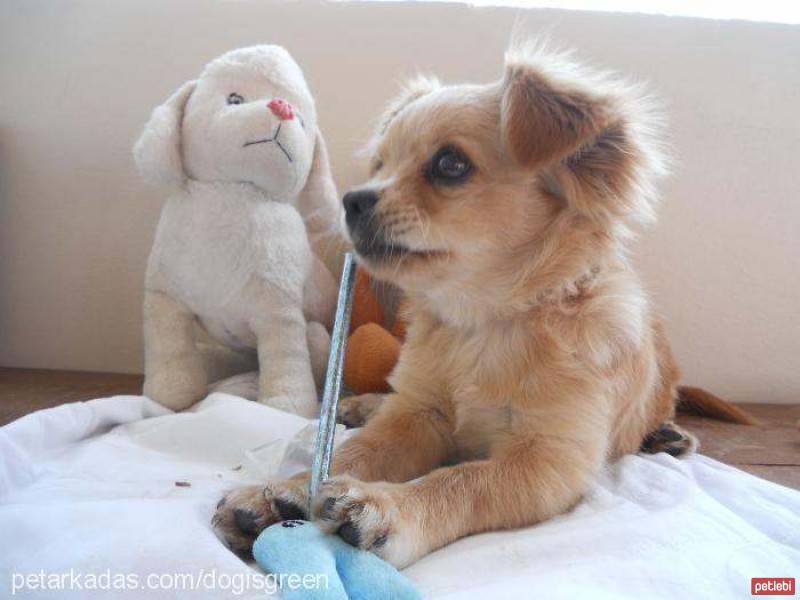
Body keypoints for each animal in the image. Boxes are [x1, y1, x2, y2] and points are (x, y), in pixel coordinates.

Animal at [216, 43, 728, 568]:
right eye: (380, 165)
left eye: (450, 164)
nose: (351, 200)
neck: (481, 325)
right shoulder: (419, 417)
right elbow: (357, 452)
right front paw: (285, 489)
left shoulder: (548, 460)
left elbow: (462, 482)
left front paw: (391, 508)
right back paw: (361, 405)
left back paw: (669, 435)